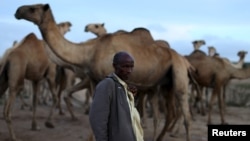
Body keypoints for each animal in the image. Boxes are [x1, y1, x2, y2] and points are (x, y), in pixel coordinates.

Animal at [15, 3, 195, 141]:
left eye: (32, 8)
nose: (17, 11)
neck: (89, 52)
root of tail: (185, 61)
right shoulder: (95, 81)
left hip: (178, 73)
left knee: (185, 114)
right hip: (163, 85)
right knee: (169, 113)